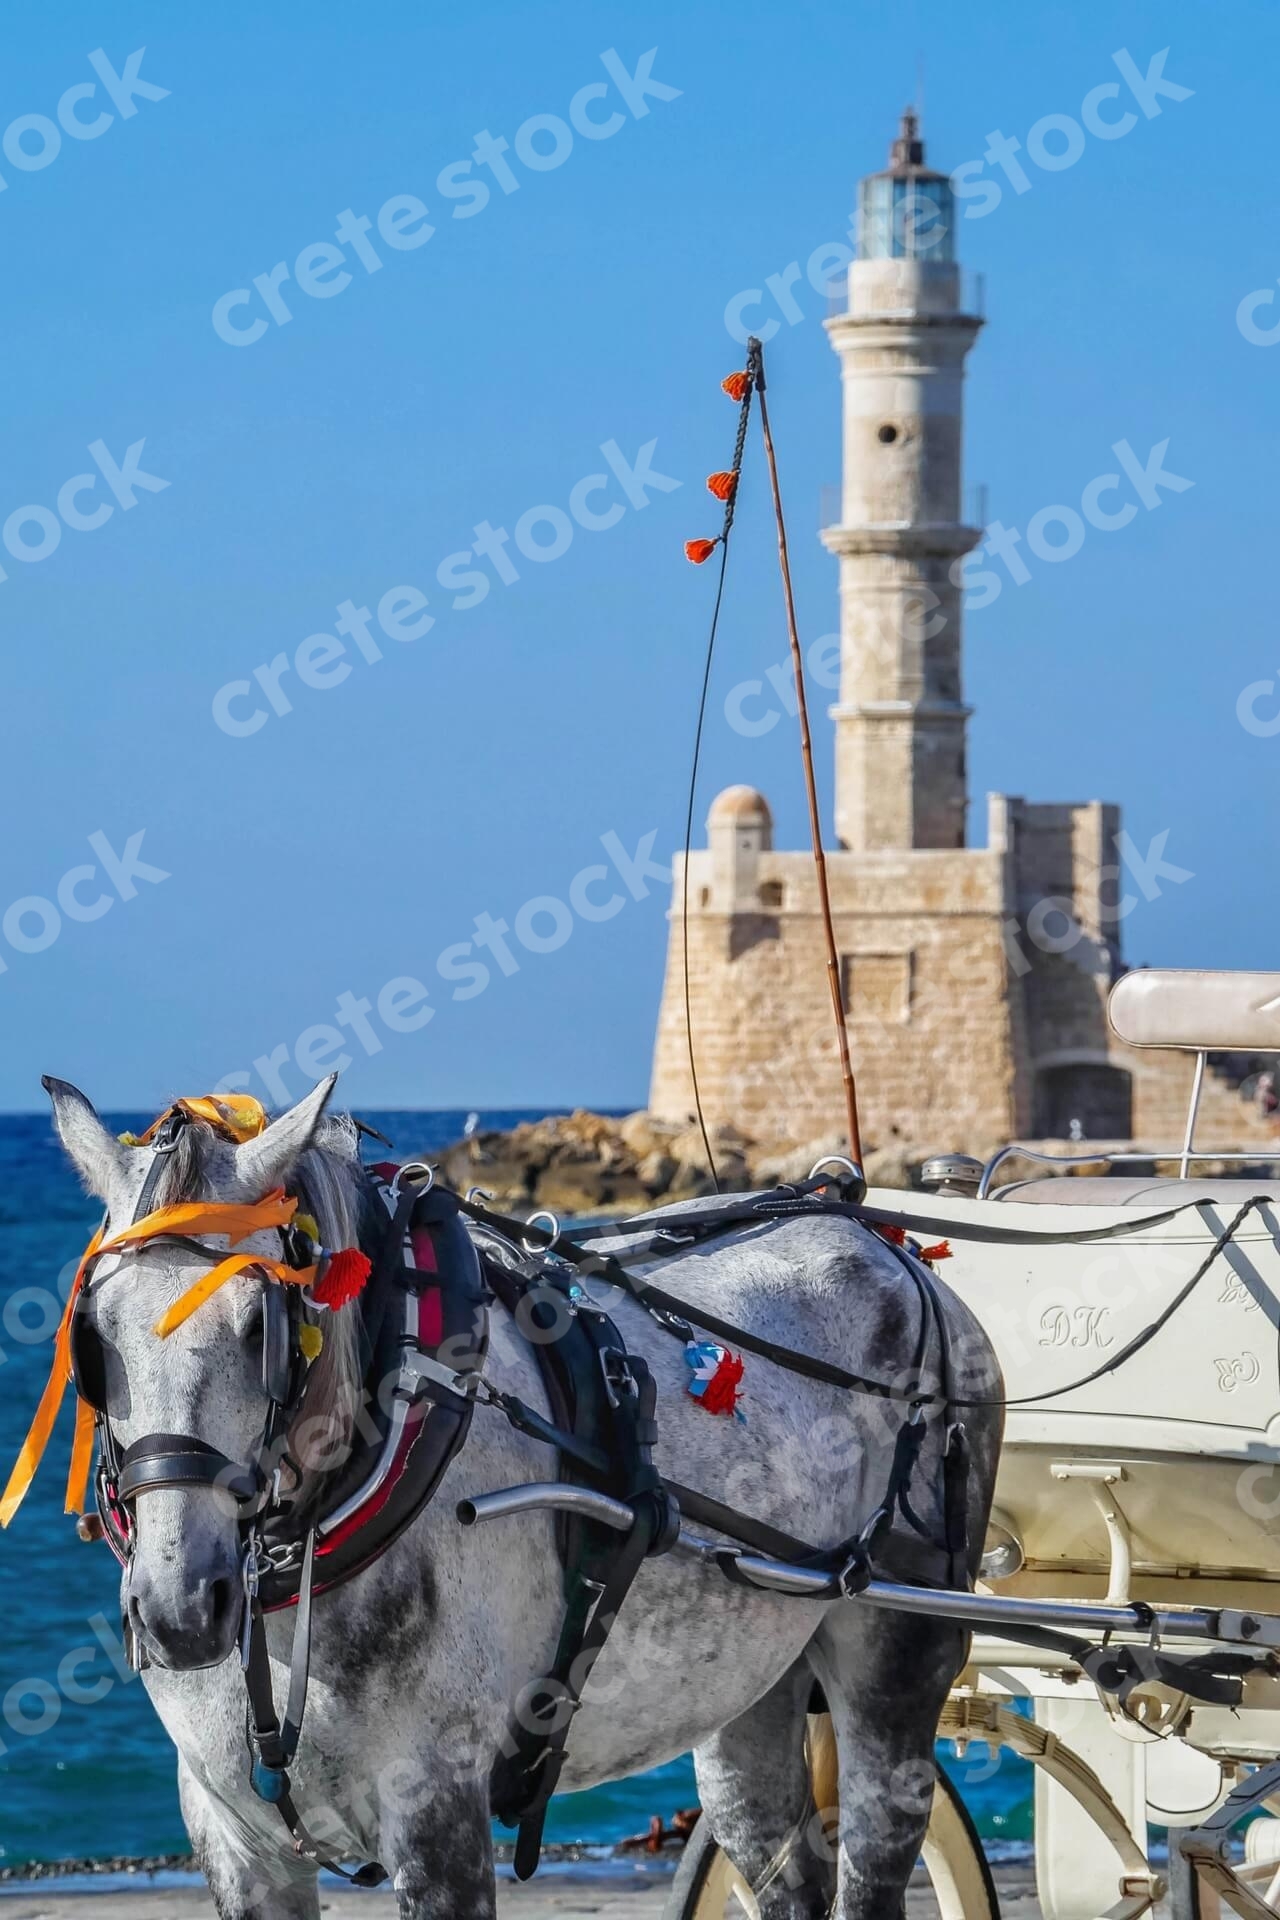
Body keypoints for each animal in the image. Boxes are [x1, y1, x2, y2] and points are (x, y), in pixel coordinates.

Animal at [40, 1075, 1005, 1912]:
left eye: (259, 1327)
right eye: (93, 1337)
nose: (181, 1610)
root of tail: (887, 1243)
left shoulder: (436, 1813)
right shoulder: (235, 1840)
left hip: (899, 1649)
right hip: (754, 1676)